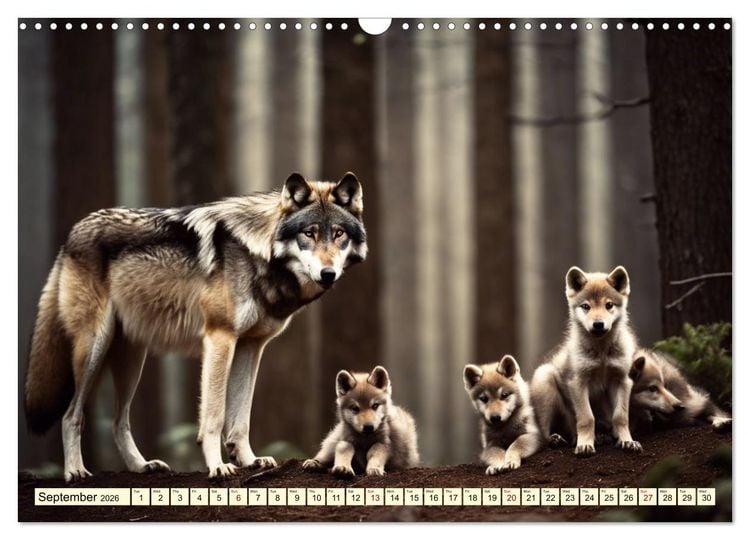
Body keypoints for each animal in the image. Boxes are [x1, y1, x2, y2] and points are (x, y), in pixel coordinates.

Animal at [24, 172, 368, 481]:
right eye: (309, 233)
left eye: (339, 234)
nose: (327, 273)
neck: (258, 253)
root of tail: (72, 233)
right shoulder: (220, 338)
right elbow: (214, 416)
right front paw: (218, 466)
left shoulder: (251, 346)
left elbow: (241, 418)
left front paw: (249, 460)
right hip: (94, 349)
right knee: (71, 414)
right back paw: (75, 471)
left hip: (132, 359)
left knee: (118, 422)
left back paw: (141, 466)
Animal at [530, 266, 643, 457]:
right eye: (585, 306)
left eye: (609, 305)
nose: (598, 324)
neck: (601, 352)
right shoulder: (578, 382)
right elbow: (586, 418)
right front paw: (585, 445)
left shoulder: (622, 380)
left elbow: (620, 417)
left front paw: (627, 441)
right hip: (546, 381)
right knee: (544, 431)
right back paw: (558, 439)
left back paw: (602, 436)